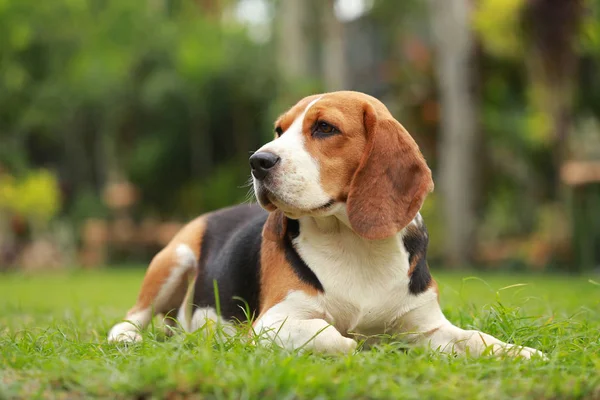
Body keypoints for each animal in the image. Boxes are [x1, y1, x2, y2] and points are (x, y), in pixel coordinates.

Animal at [108, 91, 544, 360]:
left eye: (324, 128)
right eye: (279, 130)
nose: (257, 161)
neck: (353, 243)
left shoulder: (427, 326)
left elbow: (476, 338)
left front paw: (523, 353)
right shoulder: (274, 324)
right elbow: (336, 337)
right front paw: (369, 349)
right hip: (176, 257)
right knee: (130, 316)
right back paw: (128, 337)